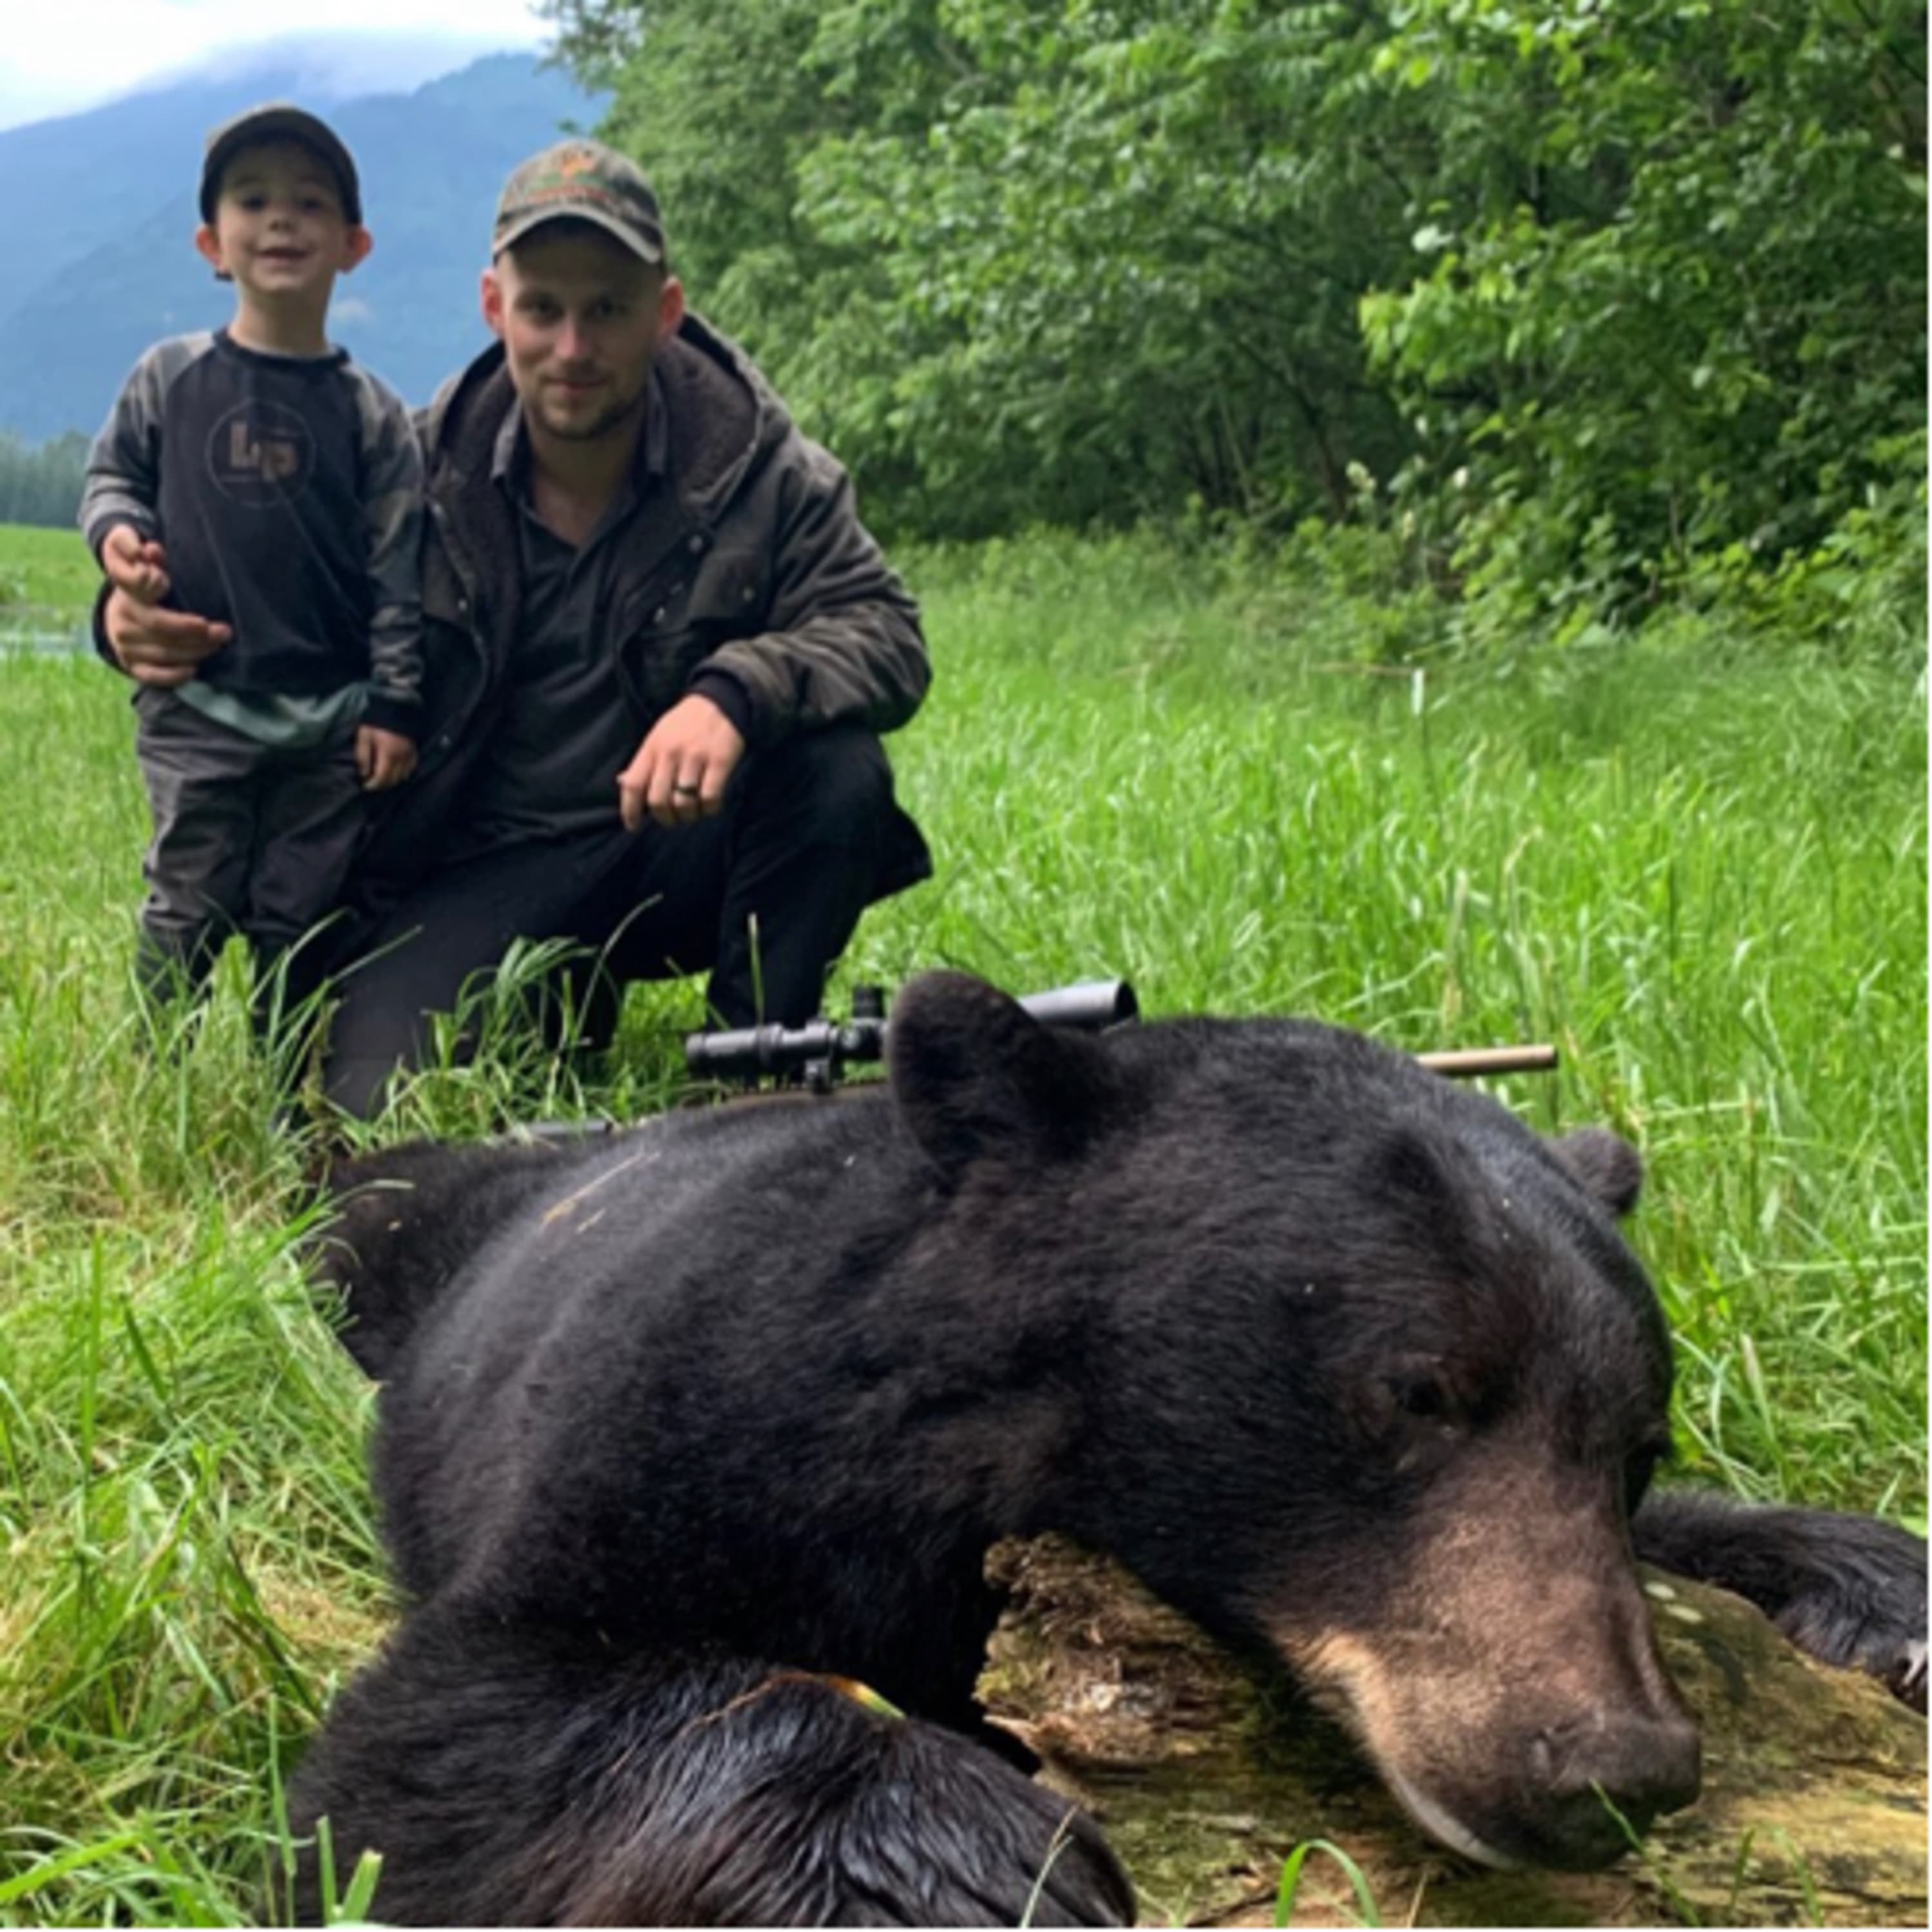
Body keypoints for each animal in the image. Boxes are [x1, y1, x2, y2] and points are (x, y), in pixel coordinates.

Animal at [291, 970, 1927, 1923]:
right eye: (1414, 1389)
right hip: (385, 1241)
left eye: (1635, 1440)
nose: (1620, 1763)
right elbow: (438, 1735)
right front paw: (966, 1868)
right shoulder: (686, 1432)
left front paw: (1870, 1586)